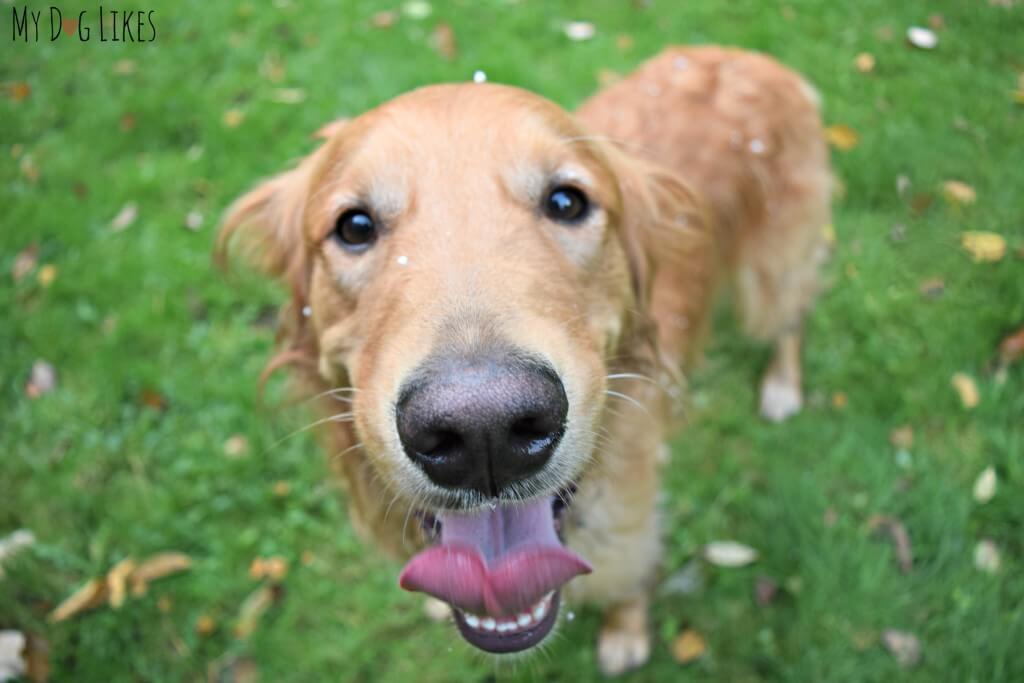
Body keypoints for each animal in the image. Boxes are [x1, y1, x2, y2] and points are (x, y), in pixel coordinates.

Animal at [220, 45, 827, 675]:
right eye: (354, 226)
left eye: (567, 201)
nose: (483, 432)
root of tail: (737, 54)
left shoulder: (631, 514)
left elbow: (630, 575)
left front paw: (626, 630)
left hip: (771, 273)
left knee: (792, 317)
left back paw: (782, 386)